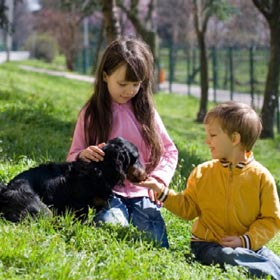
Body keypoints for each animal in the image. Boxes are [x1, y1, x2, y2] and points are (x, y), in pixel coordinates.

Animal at [0, 137, 147, 222]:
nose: (146, 176)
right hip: (44, 210)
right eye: (136, 158)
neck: (100, 169)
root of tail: (6, 190)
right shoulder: (80, 207)